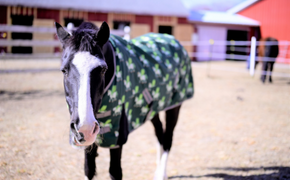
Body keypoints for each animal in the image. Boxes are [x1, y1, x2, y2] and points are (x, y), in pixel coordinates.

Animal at [55, 21, 194, 180]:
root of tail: (171, 38)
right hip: (154, 108)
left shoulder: (117, 137)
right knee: (160, 134)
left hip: (174, 106)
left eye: (103, 70)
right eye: (64, 70)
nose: (85, 128)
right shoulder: (89, 141)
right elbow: (88, 169)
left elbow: (115, 172)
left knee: (168, 139)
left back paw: (161, 174)